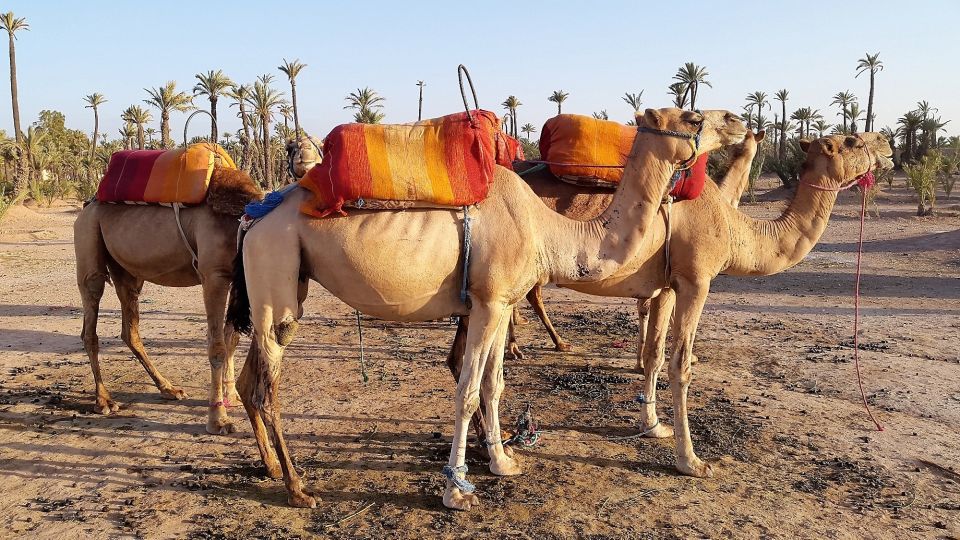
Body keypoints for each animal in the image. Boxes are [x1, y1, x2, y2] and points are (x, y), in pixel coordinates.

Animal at [73, 146, 262, 436]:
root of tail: (87, 204)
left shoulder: (235, 278)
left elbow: (232, 339)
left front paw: (233, 397)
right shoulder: (214, 275)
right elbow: (217, 345)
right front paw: (218, 419)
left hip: (127, 272)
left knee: (130, 330)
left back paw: (169, 388)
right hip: (87, 241)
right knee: (90, 323)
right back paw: (104, 401)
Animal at [227, 107, 752, 508]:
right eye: (693, 117)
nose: (740, 122)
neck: (548, 229)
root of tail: (253, 218)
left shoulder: (500, 303)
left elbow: (493, 384)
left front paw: (503, 461)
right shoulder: (488, 304)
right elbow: (467, 391)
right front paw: (457, 490)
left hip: (284, 285)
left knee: (251, 378)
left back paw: (271, 468)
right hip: (276, 269)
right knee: (266, 387)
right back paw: (298, 488)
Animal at [450, 131, 892, 480]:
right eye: (852, 141)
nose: (886, 144)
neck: (732, 223)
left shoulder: (664, 286)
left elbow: (654, 355)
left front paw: (653, 425)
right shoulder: (696, 280)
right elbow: (681, 365)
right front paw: (690, 460)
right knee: (464, 358)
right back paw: (488, 443)